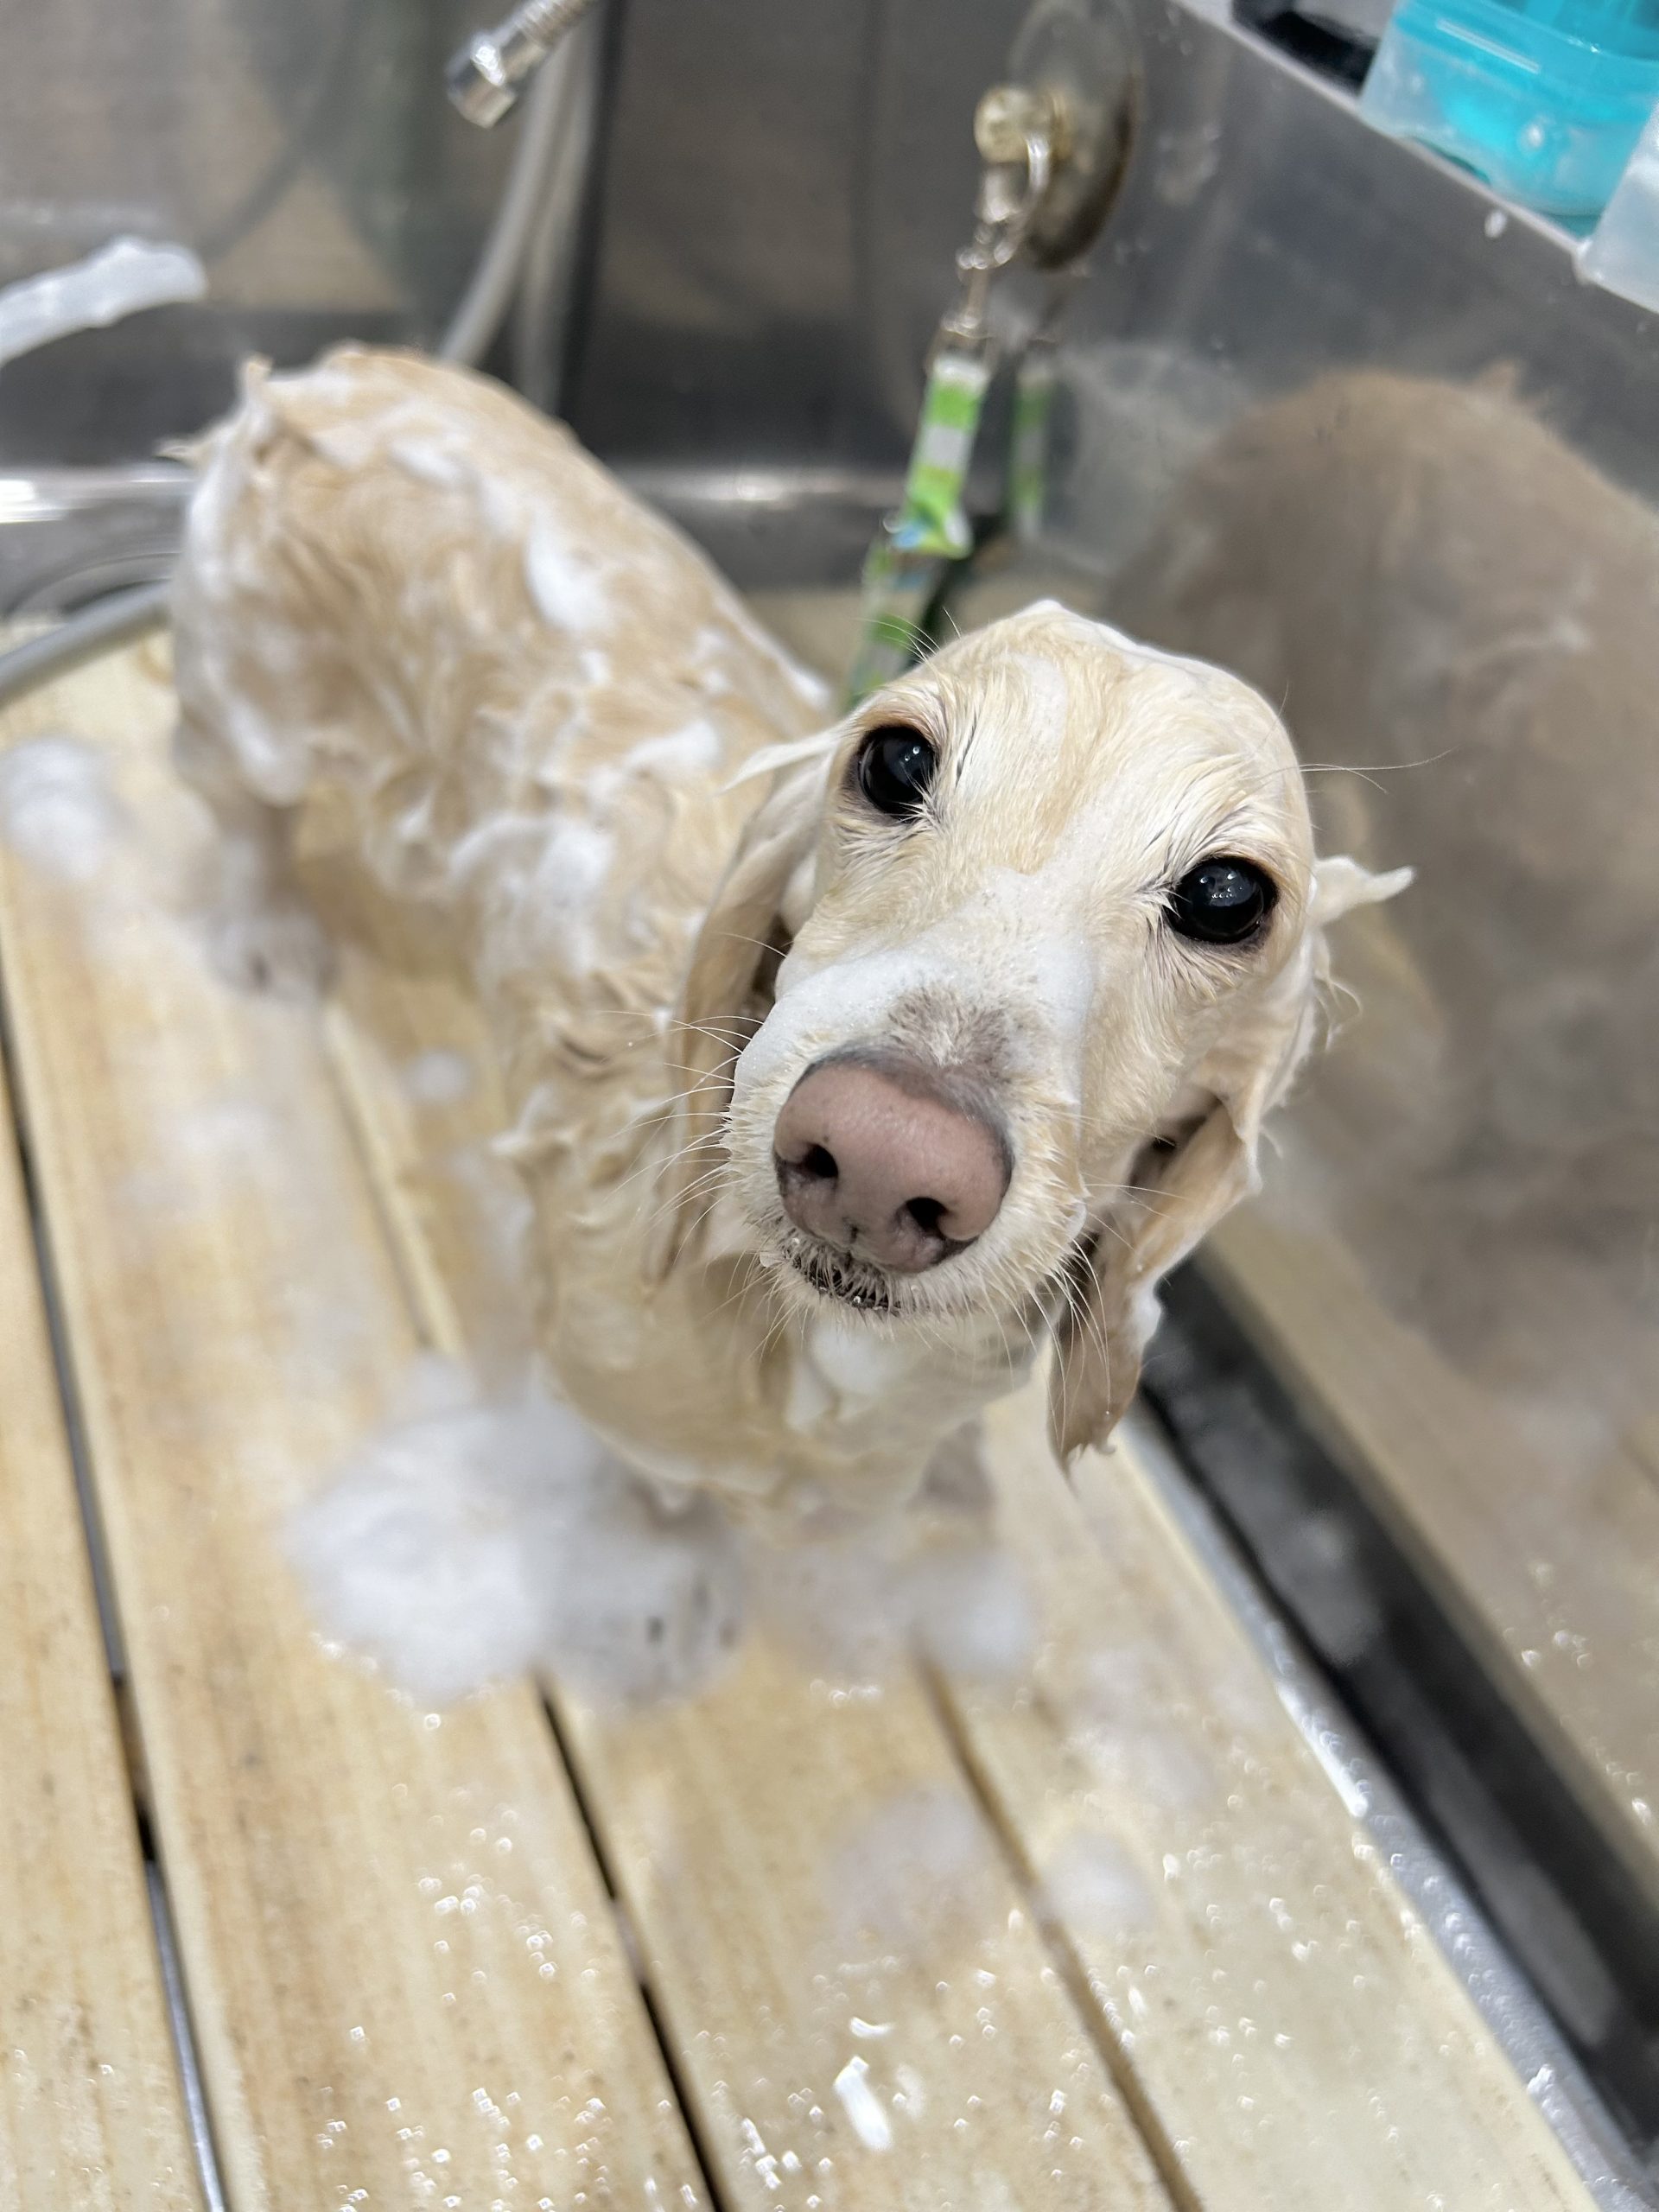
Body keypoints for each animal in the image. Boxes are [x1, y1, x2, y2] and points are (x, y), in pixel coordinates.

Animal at [170, 344, 1407, 1540]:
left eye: (1228, 895)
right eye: (895, 760)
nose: (884, 1154)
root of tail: (338, 375)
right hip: (254, 703)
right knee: (239, 807)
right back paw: (264, 933)